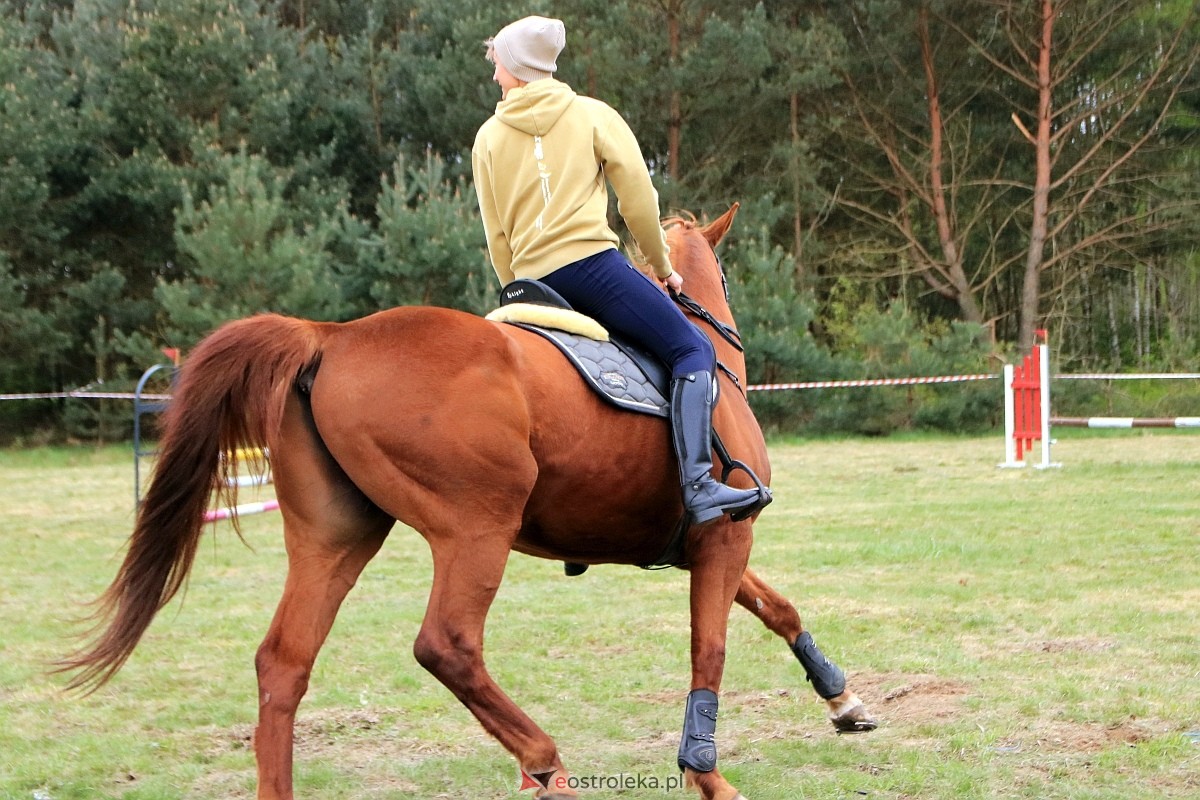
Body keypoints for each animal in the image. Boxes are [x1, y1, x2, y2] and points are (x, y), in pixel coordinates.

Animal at [60, 208, 873, 800]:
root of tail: (330, 337)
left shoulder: (702, 544)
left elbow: (777, 608)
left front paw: (842, 699)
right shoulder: (723, 538)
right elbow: (712, 647)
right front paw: (707, 774)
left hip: (338, 537)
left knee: (283, 663)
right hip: (476, 530)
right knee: (446, 645)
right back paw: (544, 762)